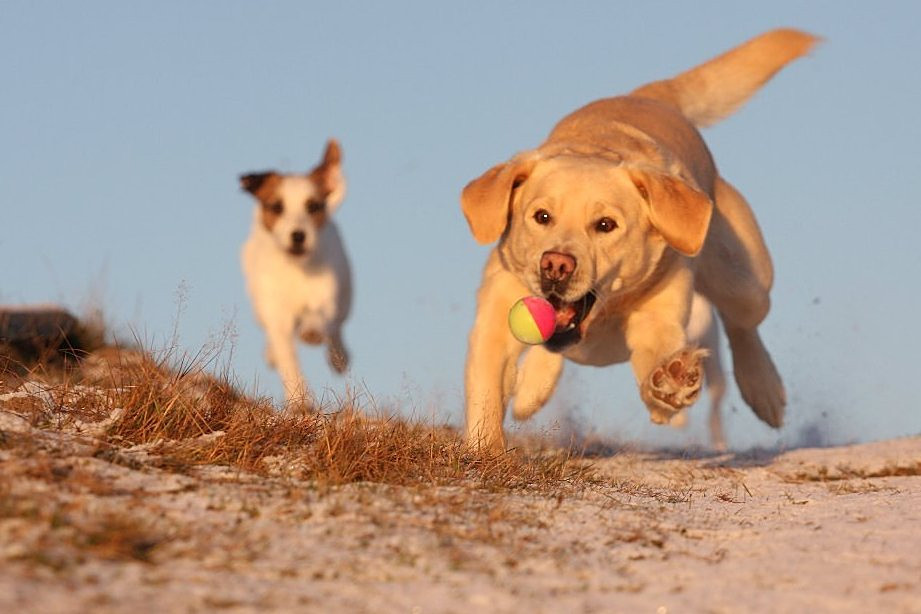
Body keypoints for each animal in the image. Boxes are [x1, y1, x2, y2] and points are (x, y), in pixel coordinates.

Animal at [239, 140, 350, 410]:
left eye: (313, 206)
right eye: (277, 206)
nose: (298, 235)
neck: (295, 267)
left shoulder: (325, 295)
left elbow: (321, 318)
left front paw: (312, 332)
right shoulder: (275, 313)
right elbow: (287, 356)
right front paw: (299, 398)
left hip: (346, 295)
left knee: (337, 328)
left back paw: (339, 357)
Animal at [464, 30, 816, 452]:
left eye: (605, 224)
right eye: (542, 217)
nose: (555, 265)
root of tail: (649, 95)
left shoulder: (659, 319)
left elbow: (658, 358)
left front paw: (672, 384)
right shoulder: (498, 313)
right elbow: (487, 388)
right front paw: (483, 451)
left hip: (743, 280)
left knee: (744, 324)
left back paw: (764, 389)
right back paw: (533, 389)